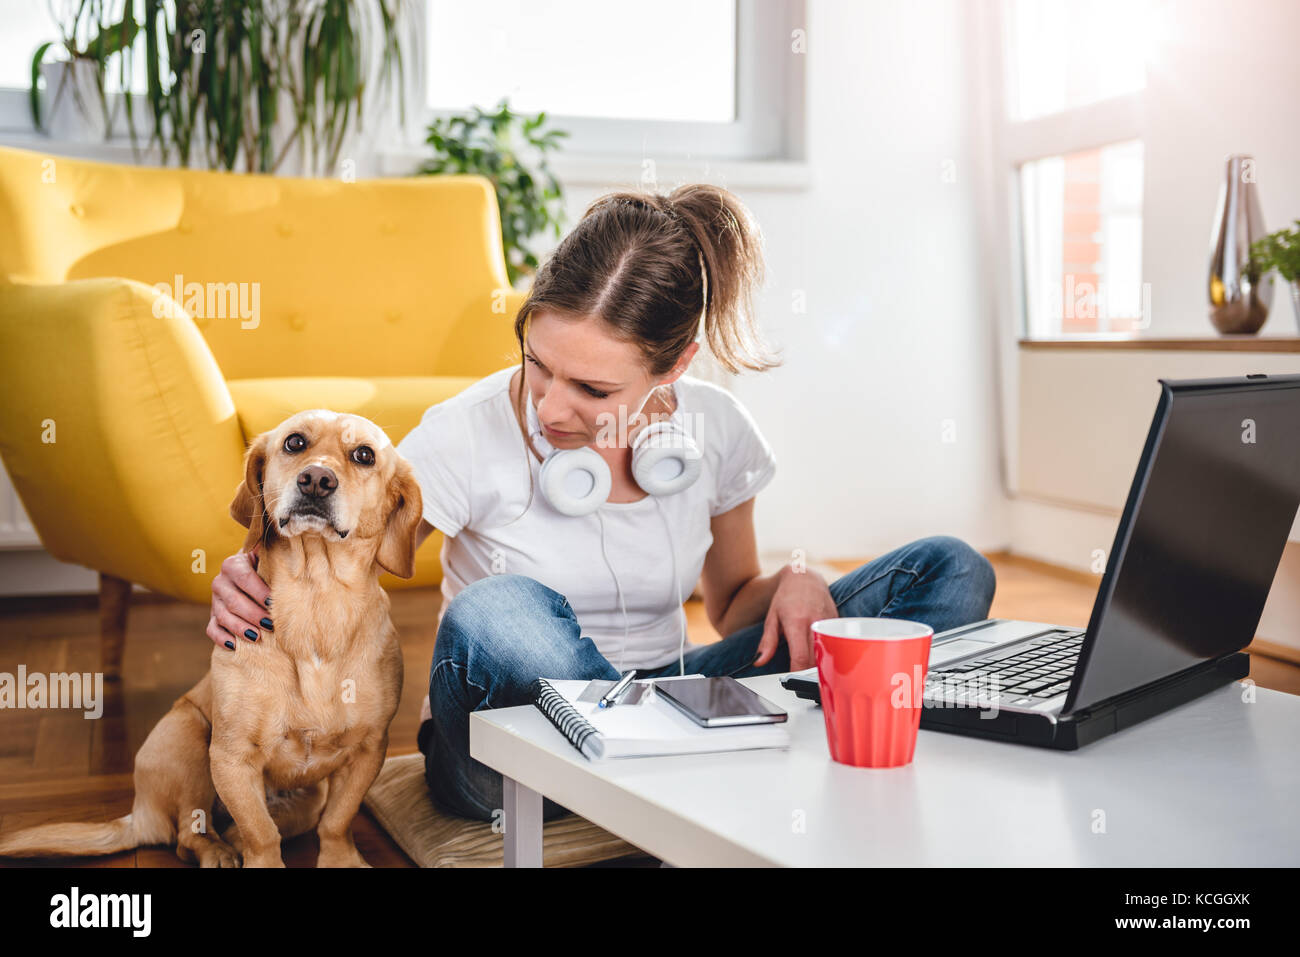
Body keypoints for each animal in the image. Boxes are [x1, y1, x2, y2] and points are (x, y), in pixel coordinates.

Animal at [0, 408, 421, 868]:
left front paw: (341, 860)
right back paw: (219, 850)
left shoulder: (368, 750)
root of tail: (139, 814)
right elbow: (262, 835)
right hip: (188, 734)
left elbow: (337, 822)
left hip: (304, 793)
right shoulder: (231, 757)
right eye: (295, 443)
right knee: (188, 832)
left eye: (363, 455)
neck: (316, 601)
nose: (316, 479)